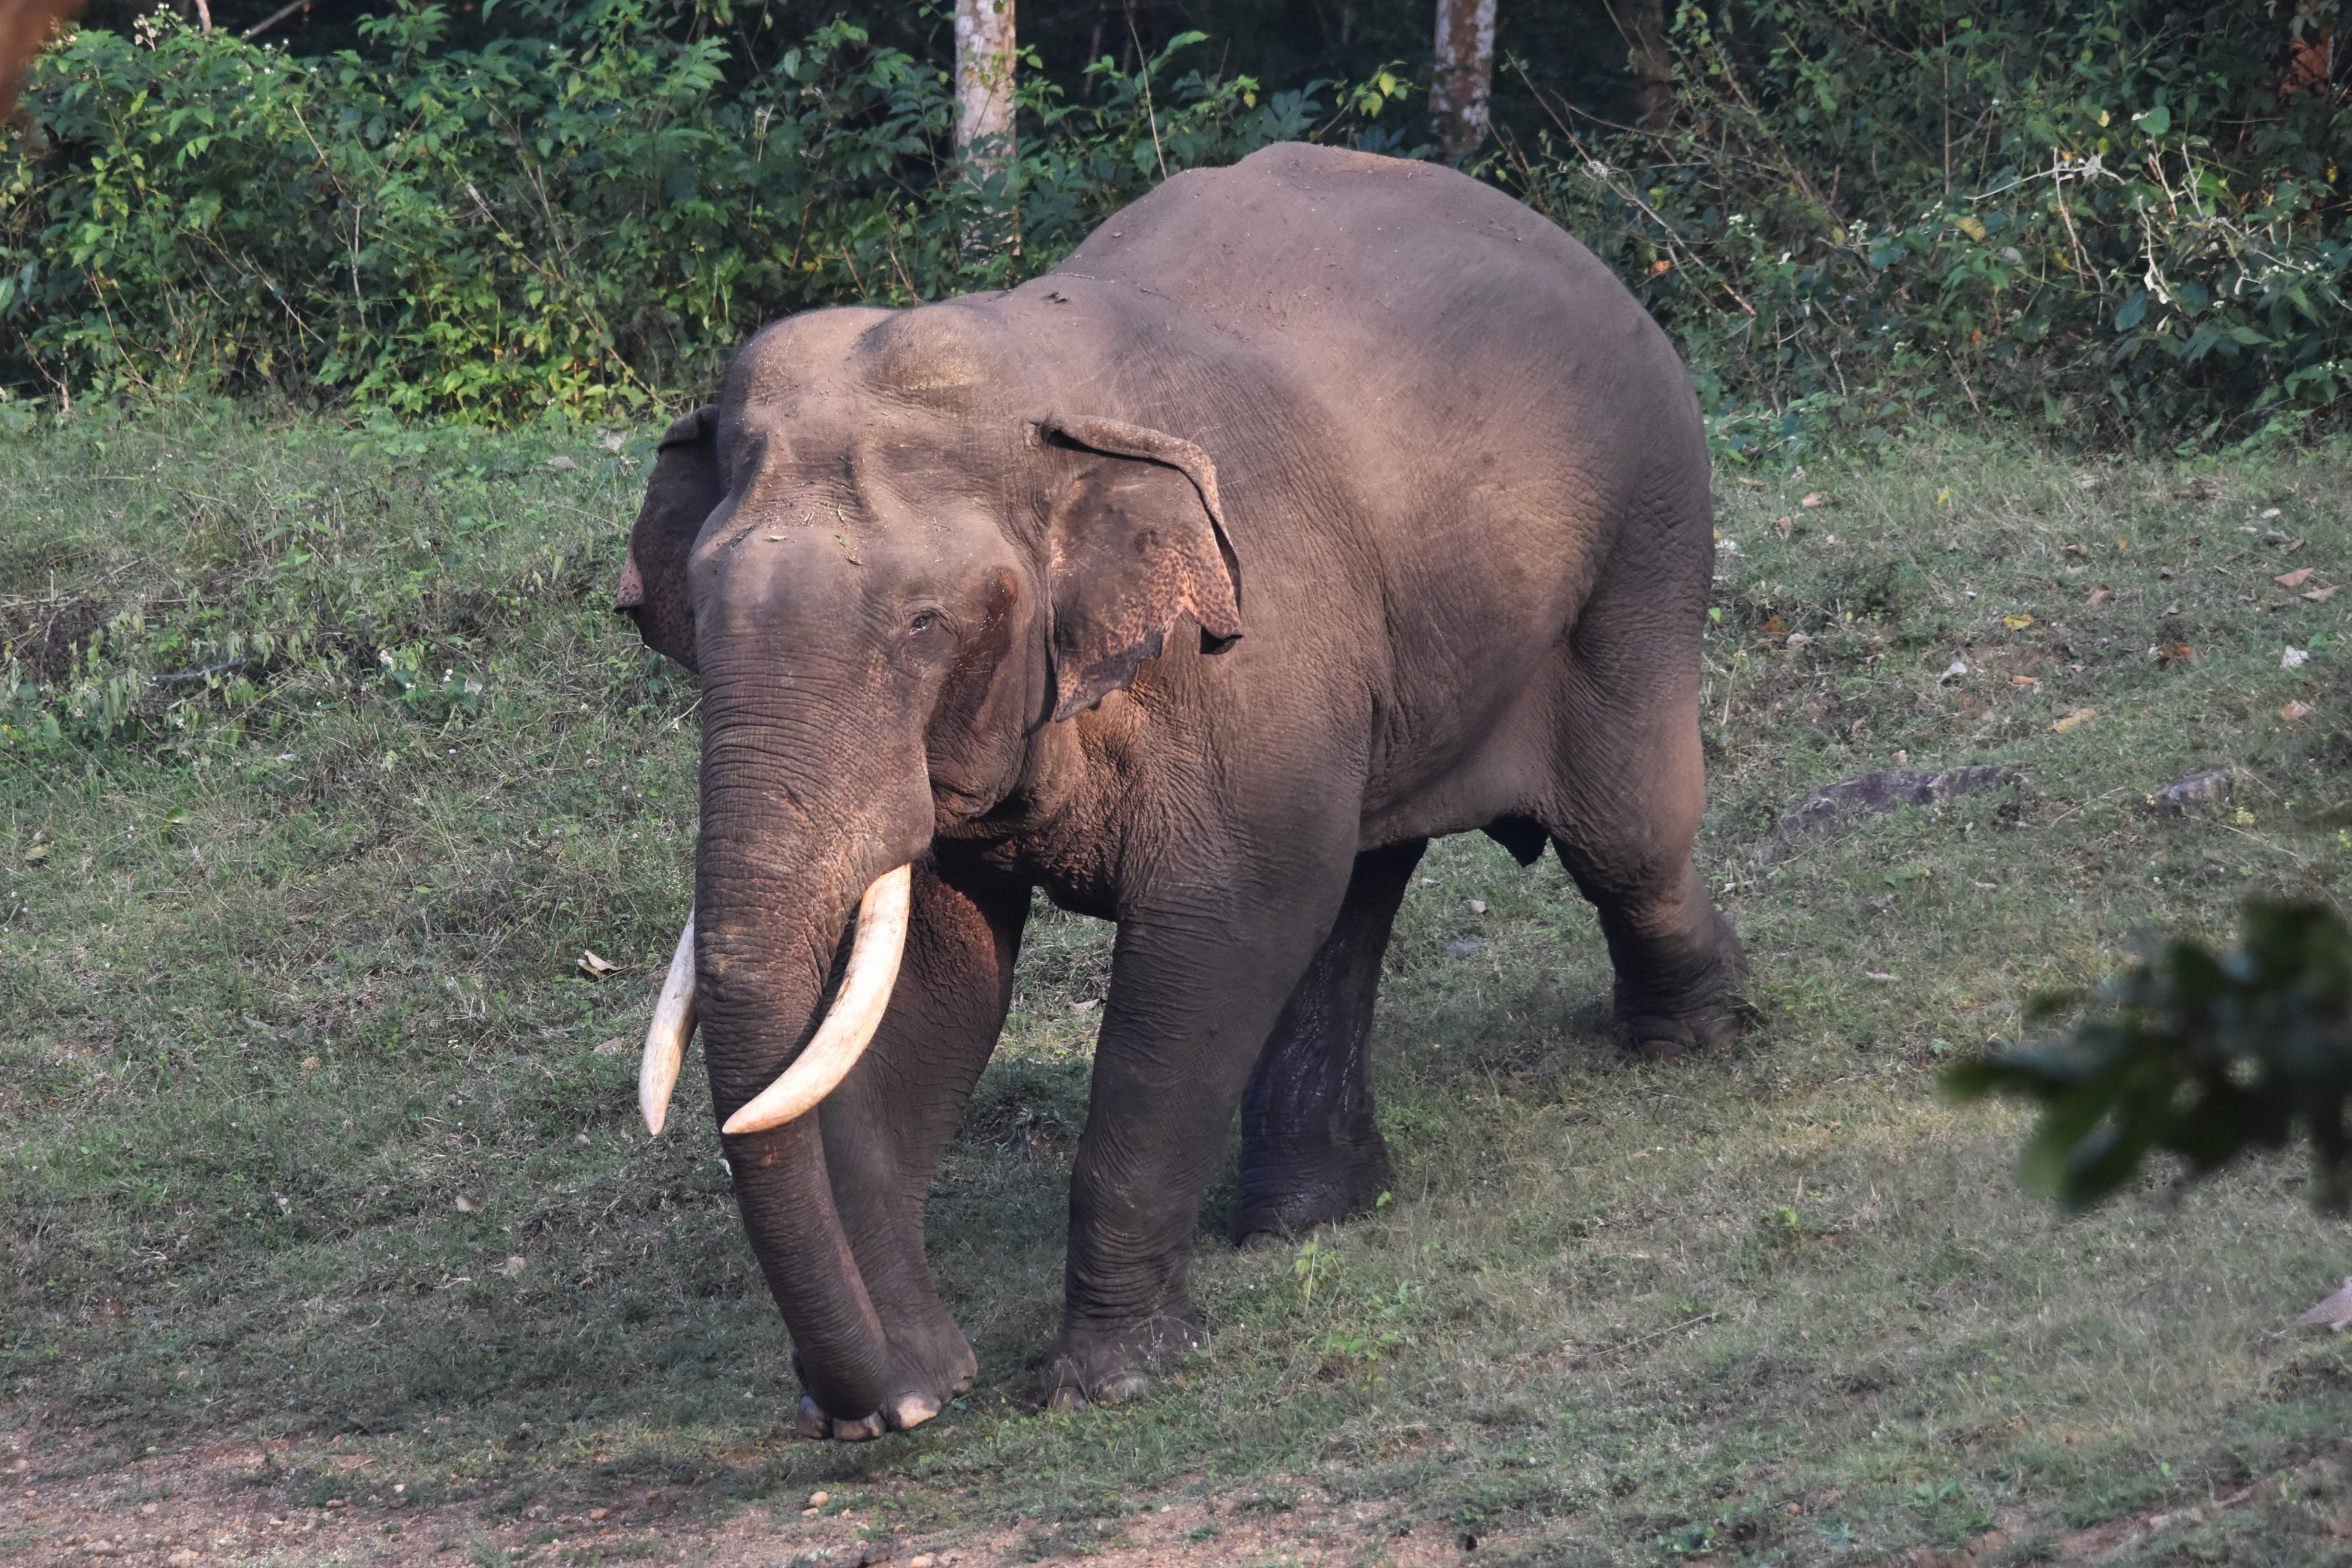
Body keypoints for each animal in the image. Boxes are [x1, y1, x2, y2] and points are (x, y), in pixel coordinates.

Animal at [614, 142, 1746, 1440]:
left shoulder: (1243, 653)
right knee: (1354, 885)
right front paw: (915, 1392)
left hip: (1647, 533)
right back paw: (1312, 1214)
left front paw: (1107, 1381)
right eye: (695, 617)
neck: (1033, 385)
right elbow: (937, 991)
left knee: (1621, 829)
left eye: (925, 624)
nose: (873, 1407)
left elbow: (1215, 937)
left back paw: (1697, 1037)